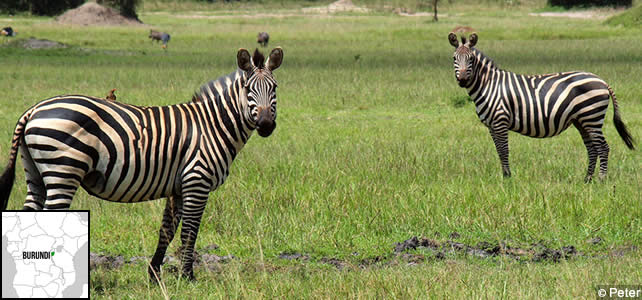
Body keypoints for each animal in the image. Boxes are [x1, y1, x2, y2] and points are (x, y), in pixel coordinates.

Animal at [0, 47, 284, 282]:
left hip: (36, 173)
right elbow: (189, 231)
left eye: (275, 88)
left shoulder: (178, 187)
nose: (266, 126)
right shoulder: (197, 180)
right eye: (248, 89)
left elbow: (167, 231)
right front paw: (188, 277)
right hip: (63, 170)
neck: (213, 125)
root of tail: (34, 109)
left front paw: (154, 274)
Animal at [448, 33, 632, 183]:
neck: (488, 85)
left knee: (603, 147)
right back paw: (587, 179)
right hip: (582, 121)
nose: (462, 80)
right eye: (454, 59)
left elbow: (504, 150)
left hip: (591, 117)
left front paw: (507, 179)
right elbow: (499, 151)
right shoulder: (491, 126)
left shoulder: (500, 121)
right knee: (592, 149)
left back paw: (601, 179)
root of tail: (602, 81)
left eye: (471, 59)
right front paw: (505, 176)